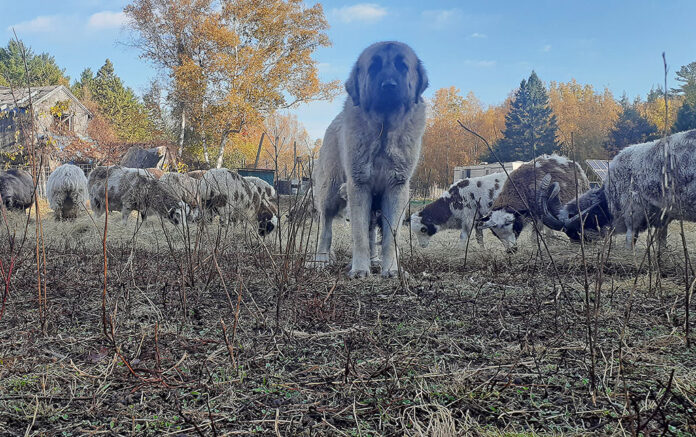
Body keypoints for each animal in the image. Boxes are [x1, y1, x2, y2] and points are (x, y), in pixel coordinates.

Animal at [312, 41, 426, 276]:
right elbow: (359, 235)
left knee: (372, 229)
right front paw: (359, 269)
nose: (389, 86)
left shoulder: (395, 190)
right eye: (373, 68)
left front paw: (391, 269)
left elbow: (390, 238)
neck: (384, 130)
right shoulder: (359, 187)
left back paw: (375, 261)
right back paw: (321, 260)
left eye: (403, 66)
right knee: (326, 228)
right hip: (330, 192)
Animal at [540, 127, 696, 247]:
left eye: (576, 231)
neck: (608, 197)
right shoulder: (663, 217)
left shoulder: (633, 212)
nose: (577, 247)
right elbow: (661, 244)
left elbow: (630, 241)